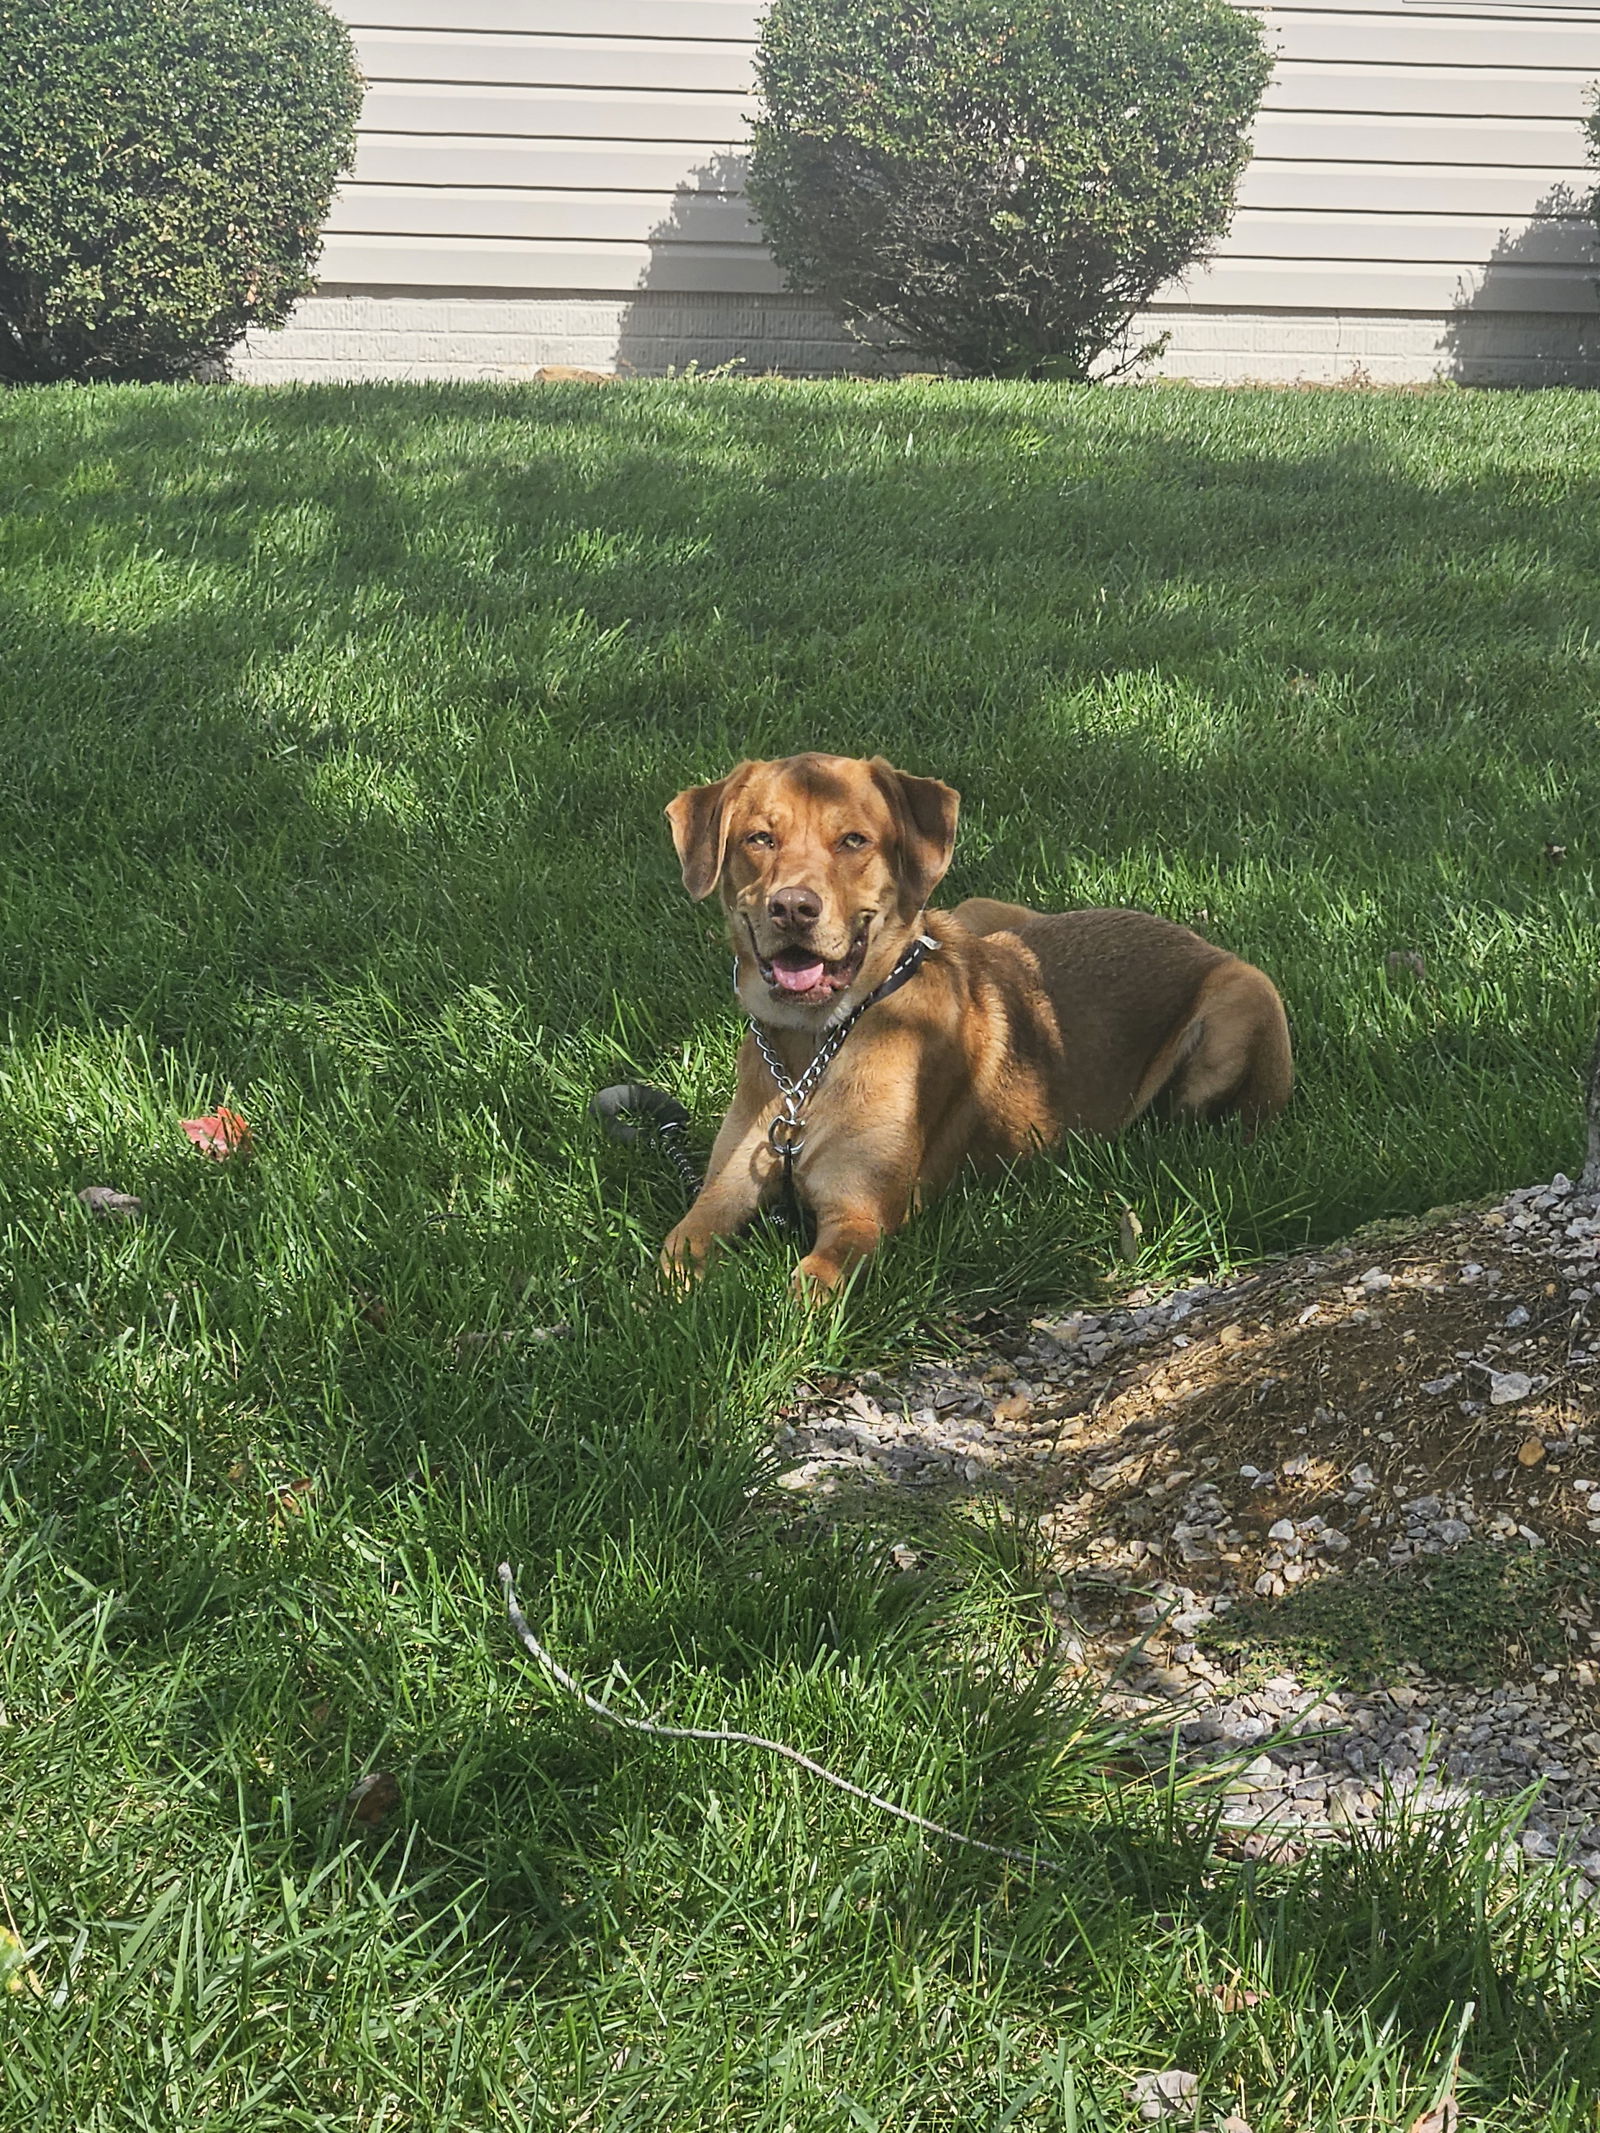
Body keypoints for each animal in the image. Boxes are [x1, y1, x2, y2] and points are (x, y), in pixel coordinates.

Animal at [661, 755, 1288, 1279]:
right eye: (759, 838)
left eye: (854, 840)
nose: (793, 907)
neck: (810, 1054)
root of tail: (1189, 933)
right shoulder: (722, 1191)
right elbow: (674, 1250)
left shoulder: (859, 1213)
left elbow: (811, 1284)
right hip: (974, 912)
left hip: (1247, 998)